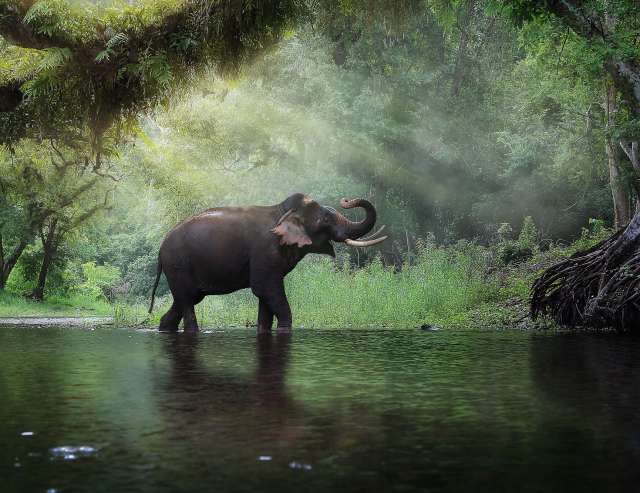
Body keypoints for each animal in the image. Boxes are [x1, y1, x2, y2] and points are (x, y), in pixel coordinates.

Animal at [148, 193, 387, 332]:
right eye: (325, 220)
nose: (346, 200)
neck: (282, 212)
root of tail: (160, 249)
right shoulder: (264, 251)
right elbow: (266, 289)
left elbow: (265, 298)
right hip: (178, 265)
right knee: (187, 302)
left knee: (183, 301)